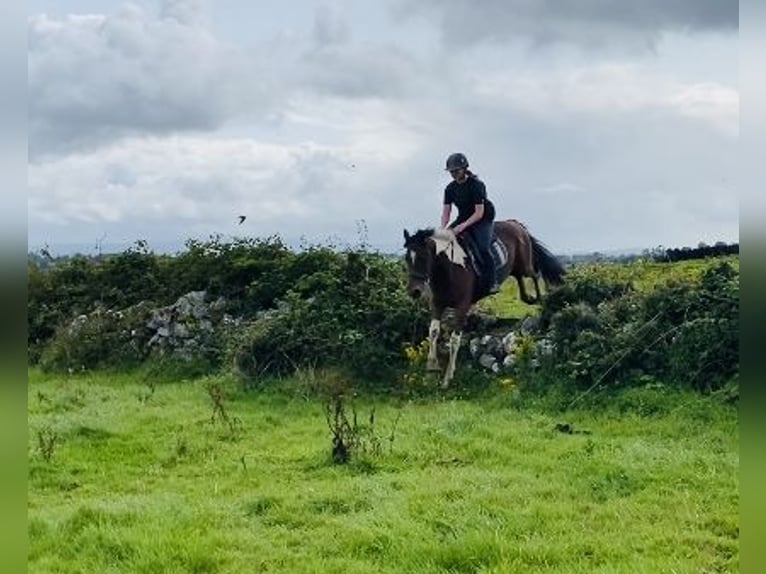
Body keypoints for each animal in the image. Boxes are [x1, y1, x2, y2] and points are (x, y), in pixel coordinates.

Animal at [402, 219, 564, 388]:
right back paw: (529, 298)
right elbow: (433, 333)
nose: (414, 291)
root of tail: (515, 224)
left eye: (422, 257)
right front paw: (430, 373)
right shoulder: (437, 304)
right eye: (406, 258)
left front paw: (447, 378)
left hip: (524, 265)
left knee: (535, 273)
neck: (448, 268)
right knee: (520, 278)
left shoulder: (462, 306)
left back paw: (542, 297)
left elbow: (454, 340)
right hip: (515, 268)